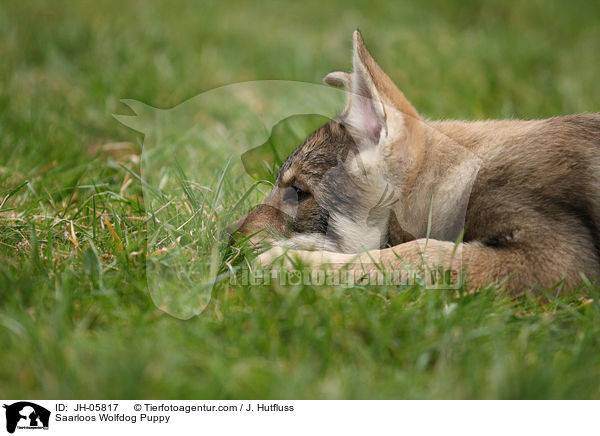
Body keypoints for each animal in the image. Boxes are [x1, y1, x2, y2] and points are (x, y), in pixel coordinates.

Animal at [231, 30, 600, 292]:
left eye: (298, 192)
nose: (224, 241)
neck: (458, 178)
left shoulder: (556, 259)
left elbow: (419, 254)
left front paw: (286, 264)